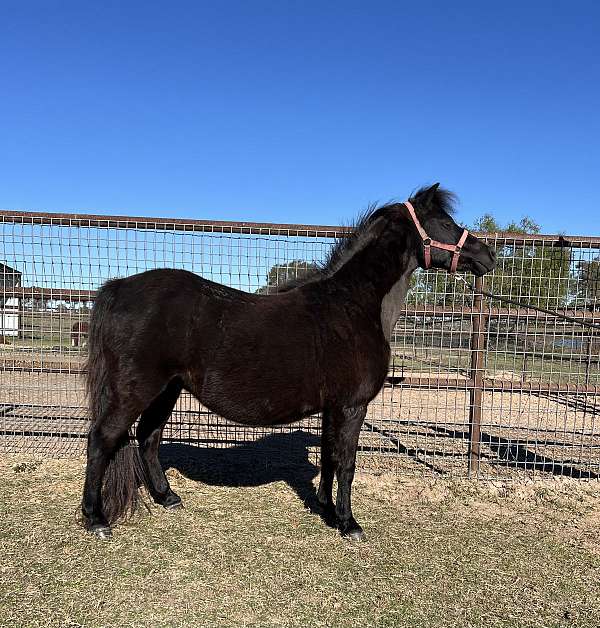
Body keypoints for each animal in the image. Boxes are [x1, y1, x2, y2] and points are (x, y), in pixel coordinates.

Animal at [83, 183, 496, 540]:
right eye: (445, 222)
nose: (488, 256)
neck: (353, 306)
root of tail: (118, 288)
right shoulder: (353, 406)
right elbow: (347, 463)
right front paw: (349, 524)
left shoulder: (334, 407)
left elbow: (329, 456)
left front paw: (326, 508)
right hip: (135, 390)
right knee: (103, 439)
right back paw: (95, 519)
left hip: (166, 389)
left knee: (148, 437)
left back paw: (167, 497)